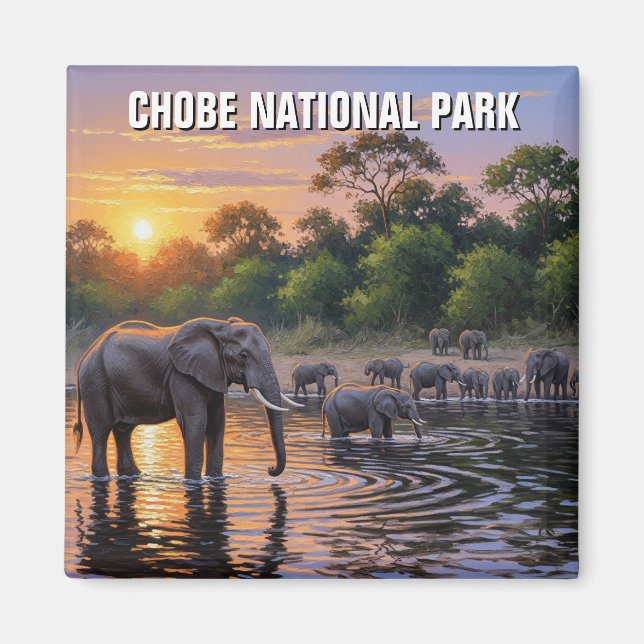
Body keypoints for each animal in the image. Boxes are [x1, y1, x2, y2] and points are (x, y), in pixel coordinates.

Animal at [73, 317, 302, 480]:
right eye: (244, 356)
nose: (270, 468)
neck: (220, 327)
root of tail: (84, 355)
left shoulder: (213, 373)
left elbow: (217, 423)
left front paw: (215, 479)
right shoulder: (182, 374)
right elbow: (196, 421)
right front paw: (193, 481)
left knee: (123, 431)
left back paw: (132, 475)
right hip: (95, 382)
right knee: (101, 431)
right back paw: (102, 477)